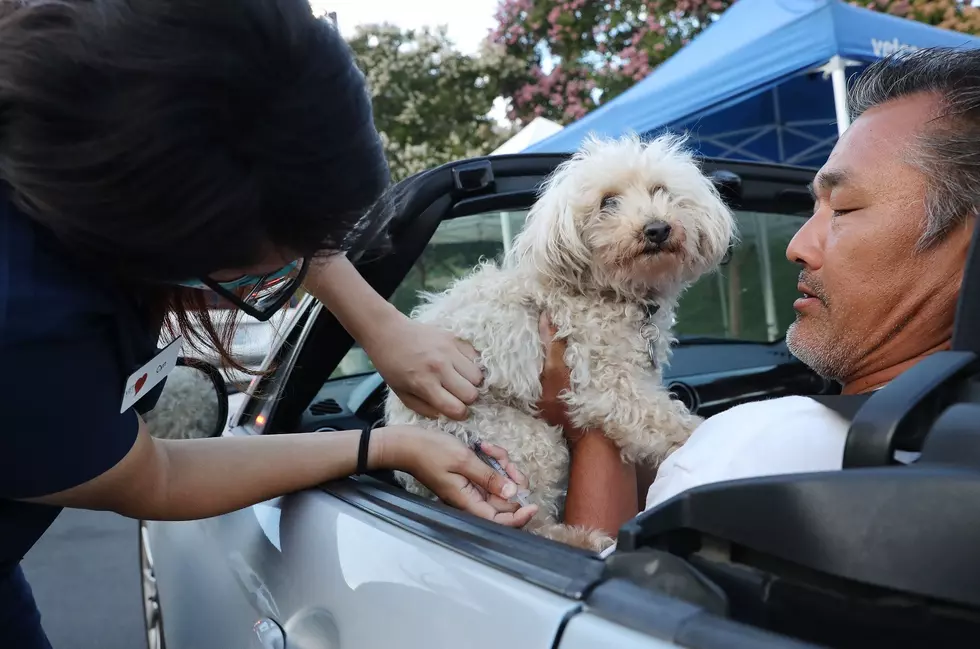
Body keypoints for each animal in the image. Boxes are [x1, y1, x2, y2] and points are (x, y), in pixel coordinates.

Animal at [386, 134, 740, 548]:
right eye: (608, 202)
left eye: (660, 191)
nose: (657, 228)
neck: (615, 293)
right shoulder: (606, 383)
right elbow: (665, 421)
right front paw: (709, 436)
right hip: (522, 439)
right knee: (530, 521)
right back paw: (582, 539)